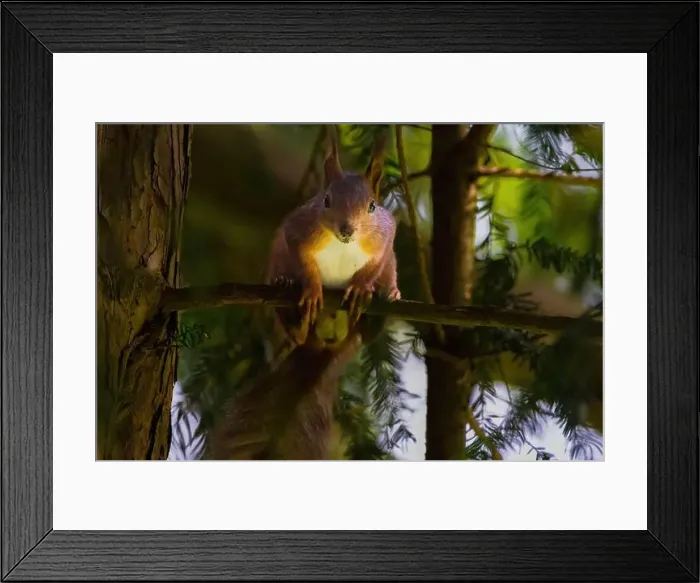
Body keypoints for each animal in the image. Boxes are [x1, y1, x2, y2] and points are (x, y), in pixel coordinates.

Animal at [205, 126, 401, 460]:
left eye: (372, 206)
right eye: (326, 200)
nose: (347, 229)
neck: (342, 245)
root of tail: (325, 345)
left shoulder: (385, 237)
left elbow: (375, 263)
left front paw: (363, 287)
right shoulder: (298, 230)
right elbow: (302, 258)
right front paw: (310, 289)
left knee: (370, 330)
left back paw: (386, 298)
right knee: (296, 334)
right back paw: (290, 297)